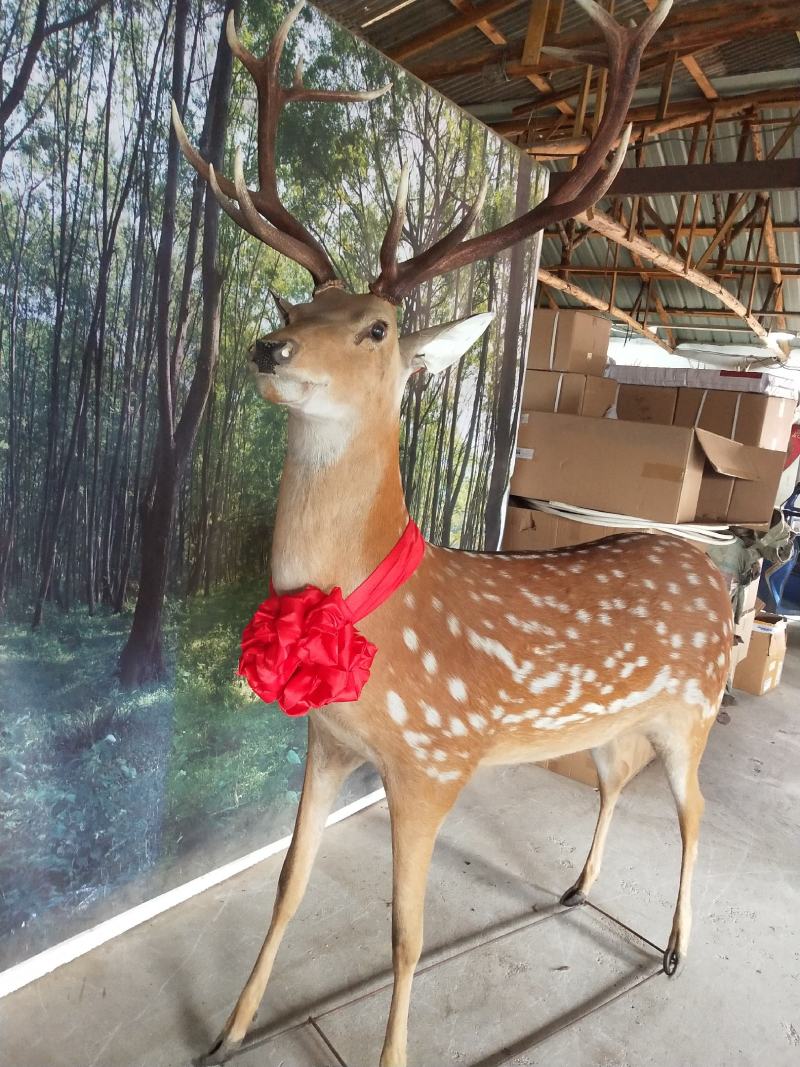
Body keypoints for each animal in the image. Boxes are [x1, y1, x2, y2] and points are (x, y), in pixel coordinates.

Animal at [172, 1, 733, 1064]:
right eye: (302, 302)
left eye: (379, 328)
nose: (268, 347)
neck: (379, 618)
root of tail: (720, 575)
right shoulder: (329, 744)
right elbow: (287, 885)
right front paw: (227, 1031)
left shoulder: (435, 761)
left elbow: (407, 933)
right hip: (623, 720)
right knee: (618, 779)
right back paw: (578, 888)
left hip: (698, 706)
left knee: (693, 814)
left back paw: (678, 947)